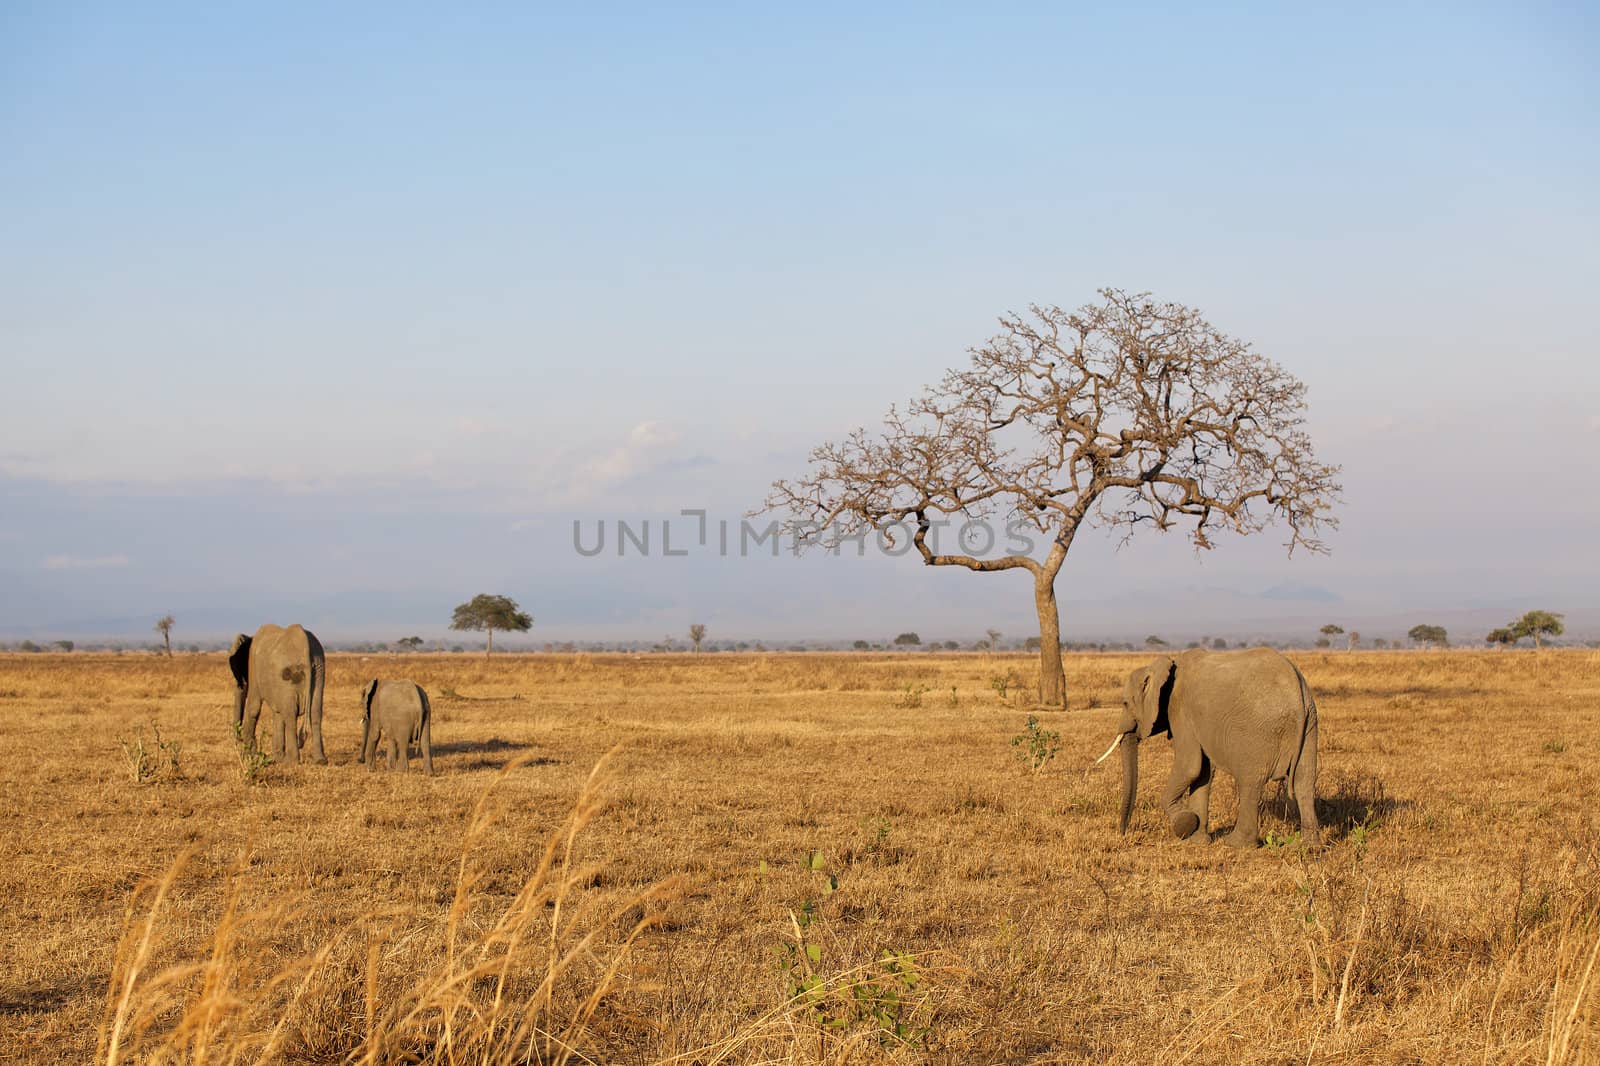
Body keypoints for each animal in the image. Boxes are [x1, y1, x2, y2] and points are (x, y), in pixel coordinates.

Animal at [227, 624, 326, 765]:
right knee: (315, 711)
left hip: (287, 674)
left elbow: (254, 707)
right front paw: (276, 758)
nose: (238, 740)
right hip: (318, 670)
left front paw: (251, 756)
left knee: (290, 714)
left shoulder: (254, 667)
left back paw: (291, 762)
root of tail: (305, 646)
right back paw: (320, 760)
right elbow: (278, 712)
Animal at [1107, 640, 1318, 845]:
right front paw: (1196, 841)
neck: (1164, 666)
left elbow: (1190, 766)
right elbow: (1203, 772)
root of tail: (1296, 692)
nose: (1124, 833)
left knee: (1250, 782)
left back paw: (1235, 843)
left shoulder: (1180, 710)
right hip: (1310, 724)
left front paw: (1184, 824)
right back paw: (1308, 845)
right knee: (1304, 781)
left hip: (1260, 731)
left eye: (1125, 703)